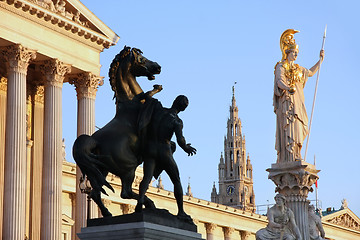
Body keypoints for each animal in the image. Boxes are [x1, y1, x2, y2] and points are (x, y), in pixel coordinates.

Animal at [72, 46, 161, 217]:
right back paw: (149, 204)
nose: (158, 67)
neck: (130, 100)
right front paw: (155, 90)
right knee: (125, 193)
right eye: (142, 59)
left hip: (101, 169)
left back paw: (107, 213)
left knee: (95, 193)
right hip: (128, 167)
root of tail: (93, 141)